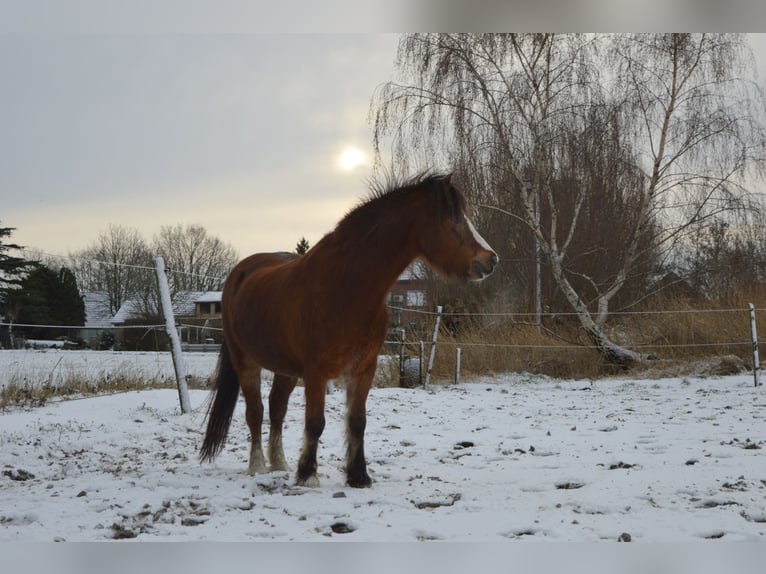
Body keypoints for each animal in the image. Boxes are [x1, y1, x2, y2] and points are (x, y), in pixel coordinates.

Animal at [200, 173, 498, 488]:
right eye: (453, 219)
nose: (491, 260)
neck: (346, 287)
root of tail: (240, 273)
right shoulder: (316, 372)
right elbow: (315, 422)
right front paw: (308, 475)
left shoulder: (364, 368)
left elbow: (357, 421)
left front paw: (358, 475)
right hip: (245, 360)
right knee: (255, 412)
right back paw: (257, 466)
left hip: (285, 368)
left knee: (276, 407)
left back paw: (279, 464)